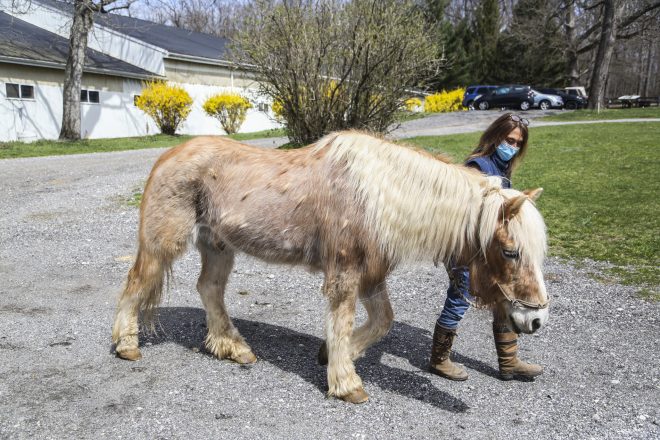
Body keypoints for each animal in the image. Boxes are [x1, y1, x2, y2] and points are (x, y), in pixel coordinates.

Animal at [112, 130, 548, 402]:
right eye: (511, 252)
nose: (535, 320)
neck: (377, 196)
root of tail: (168, 156)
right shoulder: (346, 273)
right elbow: (342, 321)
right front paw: (345, 382)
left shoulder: (372, 275)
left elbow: (382, 321)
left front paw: (332, 357)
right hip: (165, 241)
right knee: (136, 283)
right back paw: (127, 345)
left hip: (218, 245)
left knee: (209, 289)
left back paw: (232, 347)